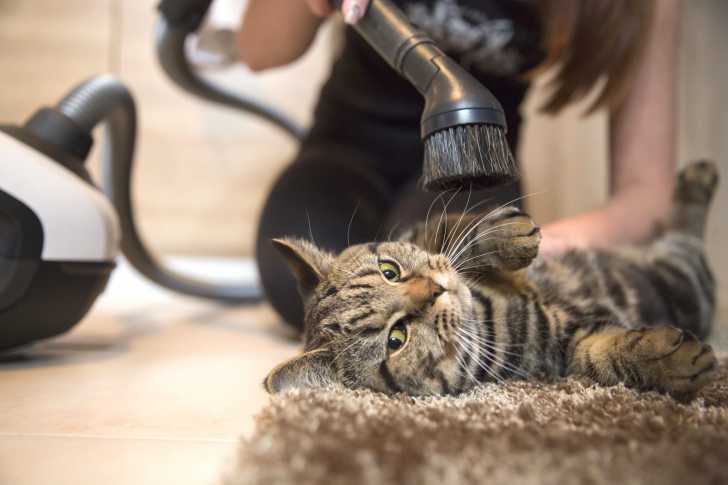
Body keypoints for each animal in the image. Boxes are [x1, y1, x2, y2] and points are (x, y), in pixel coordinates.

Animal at [266, 162, 716, 398]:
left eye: (390, 271)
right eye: (396, 338)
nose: (435, 290)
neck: (485, 308)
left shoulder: (426, 233)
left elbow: (450, 223)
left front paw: (508, 234)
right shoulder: (560, 345)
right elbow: (604, 354)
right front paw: (670, 359)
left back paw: (696, 178)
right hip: (685, 277)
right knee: (686, 239)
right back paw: (696, 185)